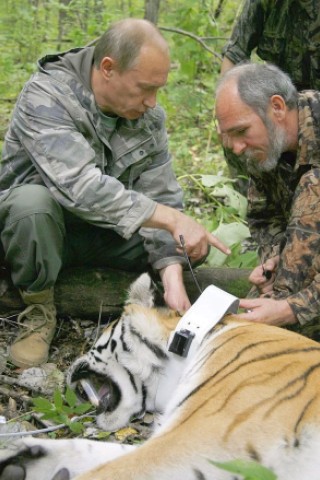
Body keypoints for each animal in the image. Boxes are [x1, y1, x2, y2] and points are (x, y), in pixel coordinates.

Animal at [1, 274, 320, 480]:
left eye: (95, 343)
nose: (68, 371)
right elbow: (99, 450)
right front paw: (20, 456)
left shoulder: (199, 439)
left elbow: (111, 471)